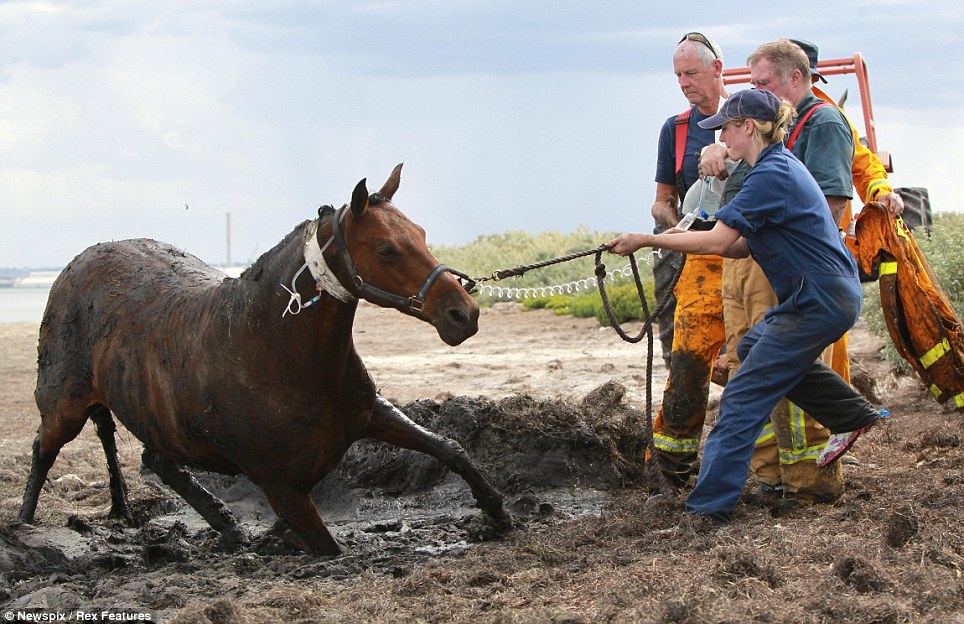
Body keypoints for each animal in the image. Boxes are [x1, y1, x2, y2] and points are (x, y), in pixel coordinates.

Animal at [18, 165, 512, 556]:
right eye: (386, 249)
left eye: (422, 234)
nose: (463, 314)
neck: (272, 351)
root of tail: (76, 264)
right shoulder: (283, 490)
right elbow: (331, 548)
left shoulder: (370, 413)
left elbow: (449, 448)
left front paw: (498, 512)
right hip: (65, 407)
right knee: (44, 448)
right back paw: (23, 524)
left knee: (156, 461)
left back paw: (225, 524)